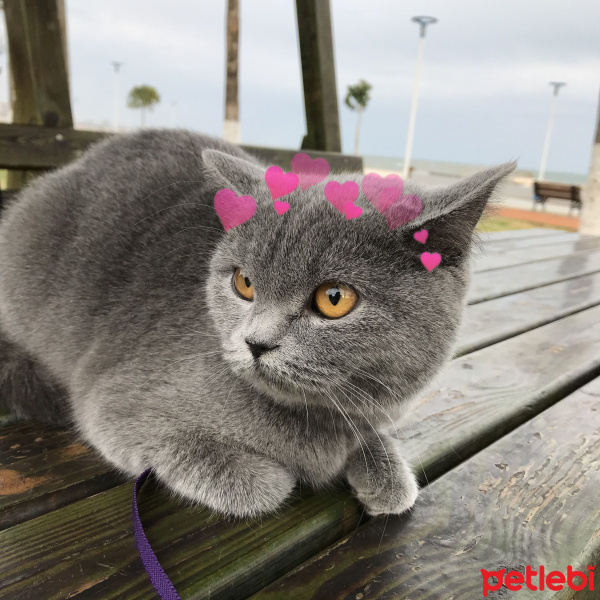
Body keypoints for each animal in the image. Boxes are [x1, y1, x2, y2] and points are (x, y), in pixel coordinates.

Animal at [0, 131, 516, 516]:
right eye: (244, 283)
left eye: (334, 299)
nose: (255, 342)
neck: (317, 423)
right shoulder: (113, 402)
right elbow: (247, 482)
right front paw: (274, 476)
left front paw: (384, 471)